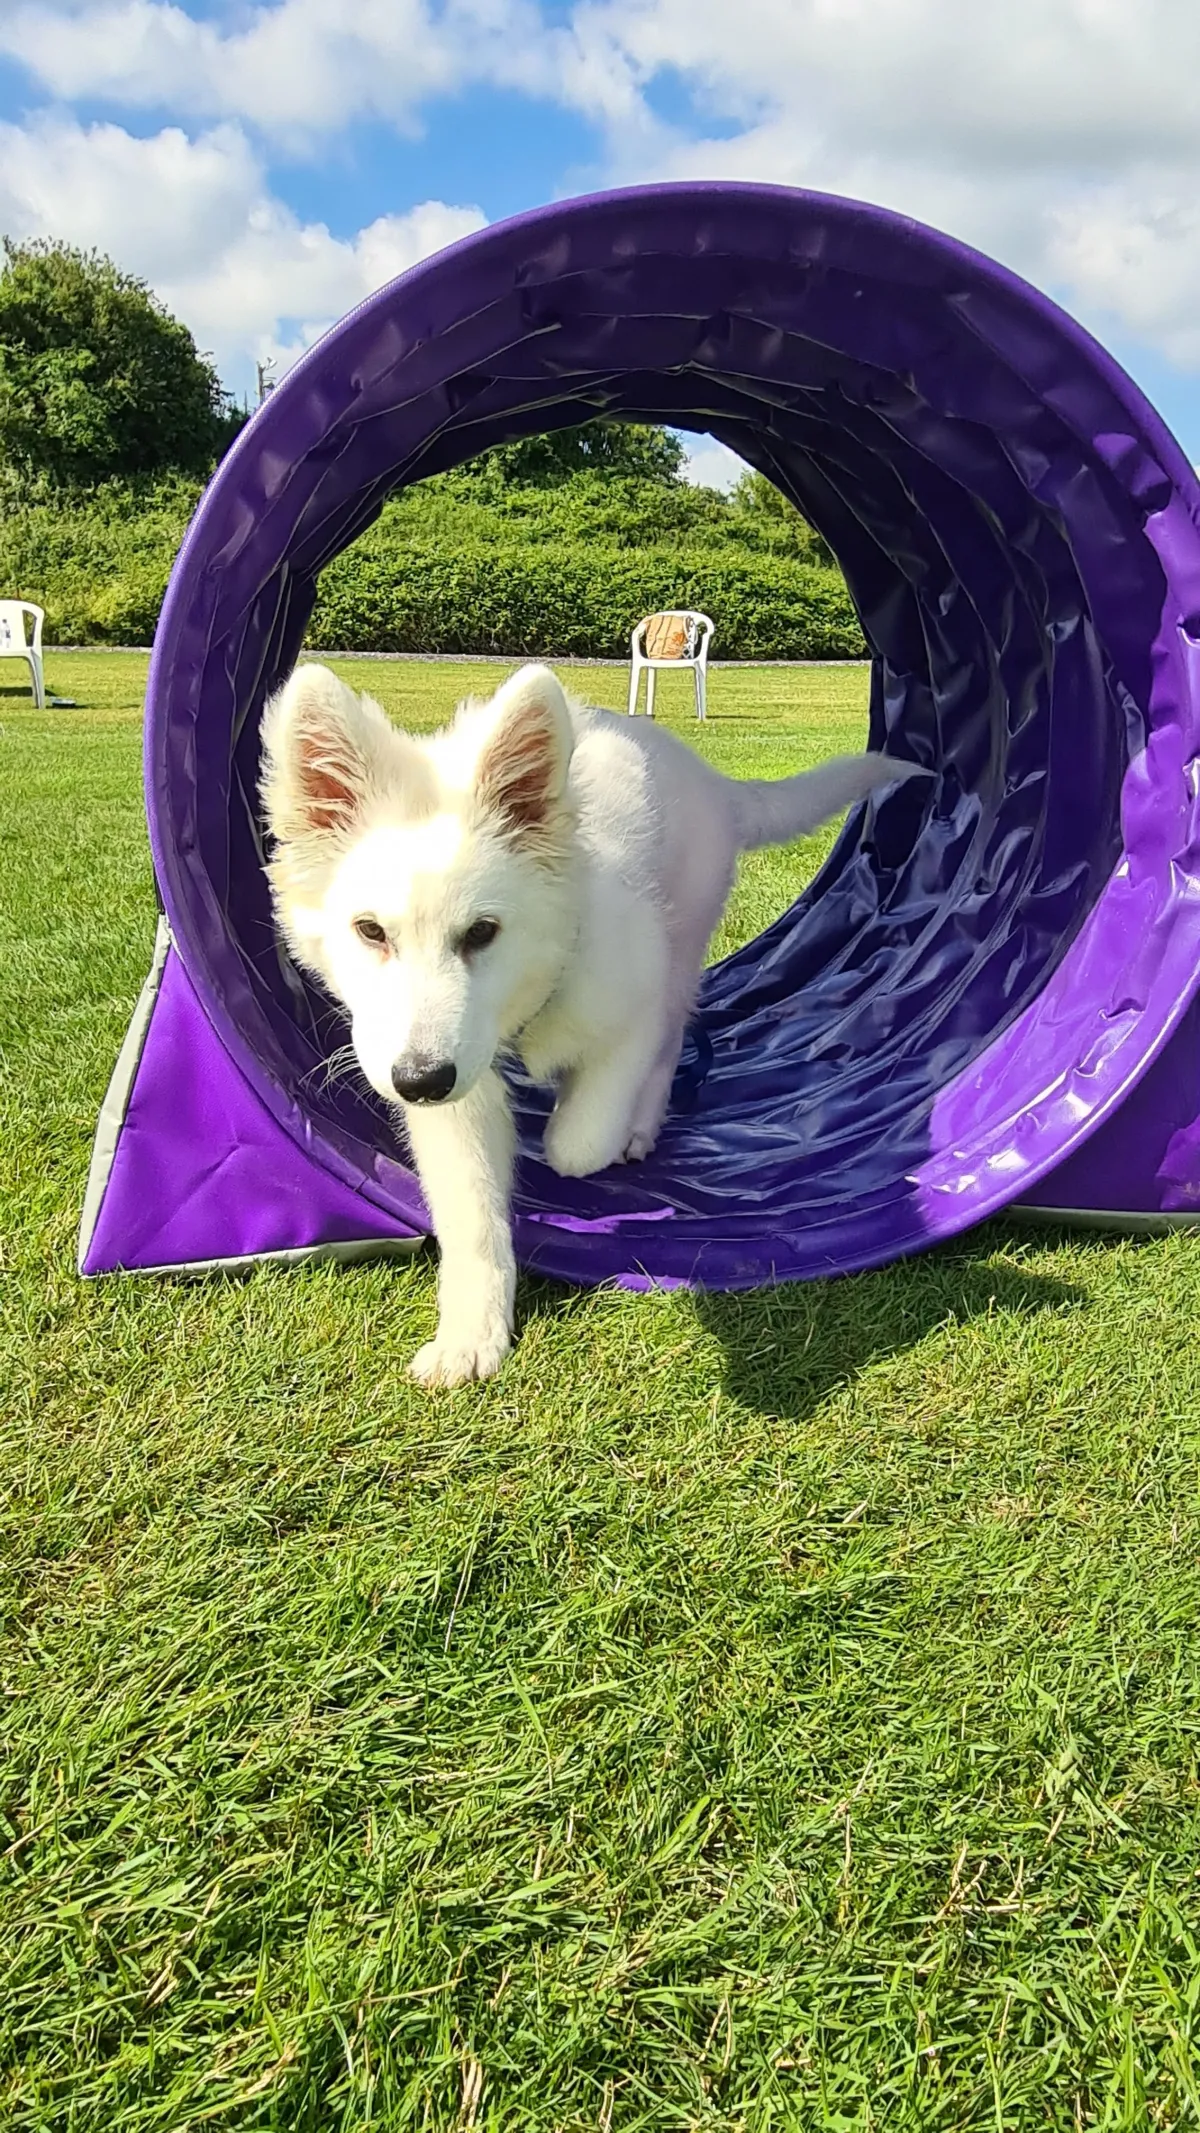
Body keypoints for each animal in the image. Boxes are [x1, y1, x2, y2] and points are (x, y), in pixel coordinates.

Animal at [261, 656, 920, 1382]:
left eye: (483, 932)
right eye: (371, 931)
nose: (421, 1081)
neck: (526, 1000)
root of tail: (714, 782)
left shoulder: (633, 993)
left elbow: (581, 1137)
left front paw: (580, 1136)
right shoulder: (455, 1096)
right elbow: (471, 1215)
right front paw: (472, 1335)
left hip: (681, 941)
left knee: (670, 1040)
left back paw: (639, 1126)